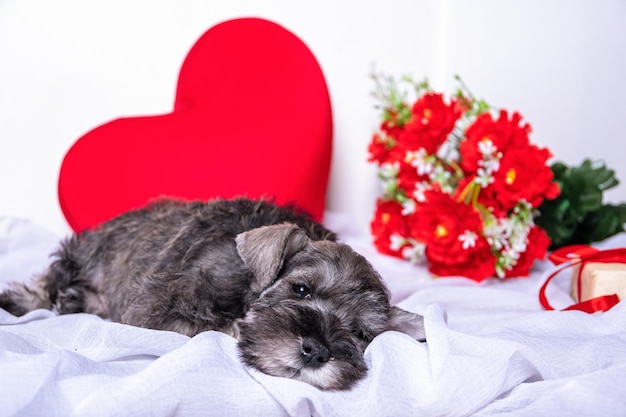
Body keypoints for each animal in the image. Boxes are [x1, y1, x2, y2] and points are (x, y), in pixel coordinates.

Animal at [0, 197, 424, 388]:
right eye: (301, 289)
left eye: (361, 333)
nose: (317, 351)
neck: (245, 283)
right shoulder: (156, 310)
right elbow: (214, 325)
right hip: (80, 254)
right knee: (47, 282)